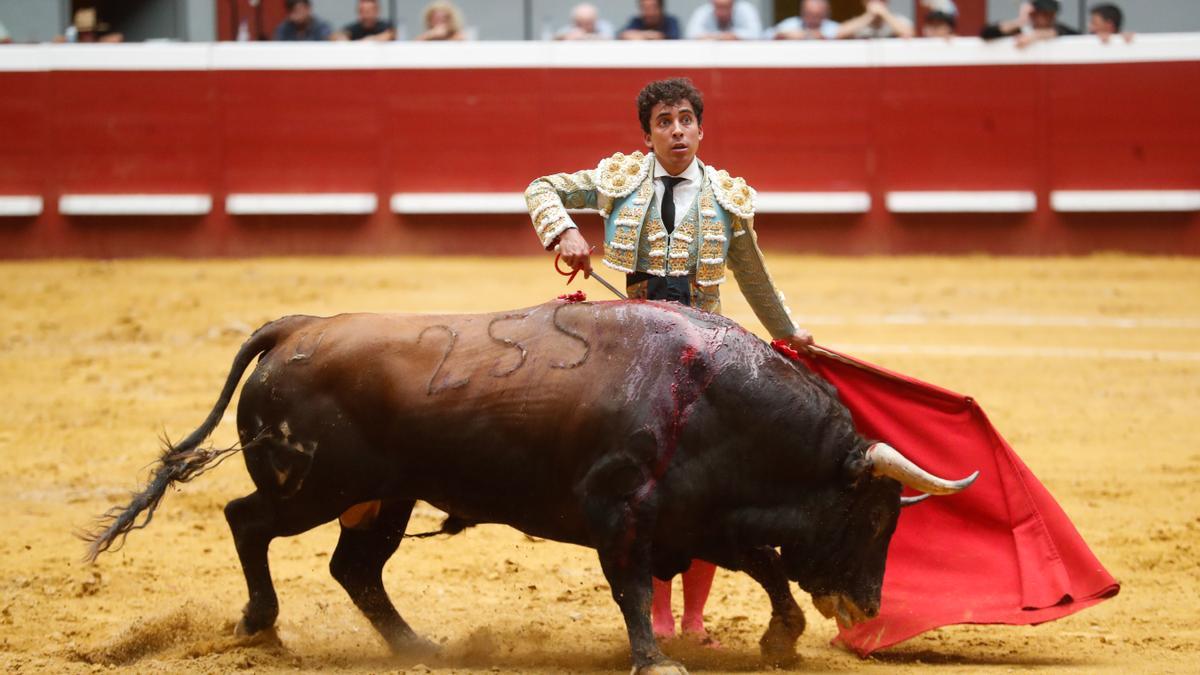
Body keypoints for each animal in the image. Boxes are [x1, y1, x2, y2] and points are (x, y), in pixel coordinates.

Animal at [84, 299, 974, 672]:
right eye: (875, 520)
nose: (867, 605)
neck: (709, 396)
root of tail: (299, 325)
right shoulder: (622, 513)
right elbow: (633, 588)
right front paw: (656, 661)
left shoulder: (703, 517)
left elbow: (767, 568)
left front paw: (779, 640)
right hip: (312, 487)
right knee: (247, 520)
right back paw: (259, 626)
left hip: (384, 497)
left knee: (354, 567)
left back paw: (417, 647)